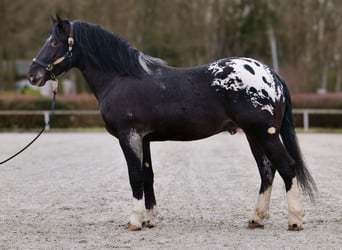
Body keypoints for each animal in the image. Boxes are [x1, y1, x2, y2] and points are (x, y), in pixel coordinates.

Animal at [28, 15, 316, 230]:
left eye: (53, 42)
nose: (33, 75)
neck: (121, 78)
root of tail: (272, 75)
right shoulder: (144, 139)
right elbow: (148, 175)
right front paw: (149, 219)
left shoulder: (129, 136)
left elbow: (135, 177)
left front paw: (135, 221)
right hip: (254, 135)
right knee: (267, 170)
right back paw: (256, 218)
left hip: (265, 133)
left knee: (287, 166)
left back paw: (295, 220)